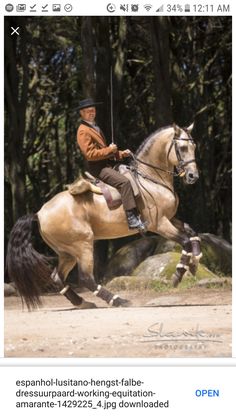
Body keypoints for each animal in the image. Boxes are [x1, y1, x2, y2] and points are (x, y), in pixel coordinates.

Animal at [6, 123, 201, 310]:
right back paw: (118, 300)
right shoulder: (159, 224)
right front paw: (178, 274)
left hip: (67, 252)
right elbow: (185, 240)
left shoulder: (170, 218)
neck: (151, 179)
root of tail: (39, 213)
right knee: (86, 278)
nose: (193, 176)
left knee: (57, 277)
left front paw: (195, 261)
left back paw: (82, 303)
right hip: (83, 245)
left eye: (193, 146)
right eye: (182, 148)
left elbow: (191, 231)